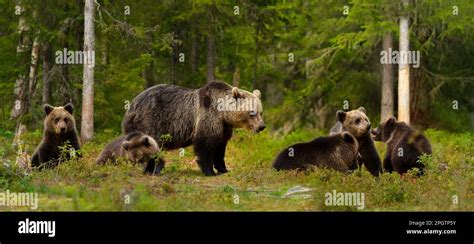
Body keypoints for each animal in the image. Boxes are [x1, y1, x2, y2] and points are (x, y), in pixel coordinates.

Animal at [120, 81, 264, 176]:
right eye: (252, 112)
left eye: (261, 112)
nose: (262, 126)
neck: (223, 114)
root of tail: (131, 107)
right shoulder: (208, 116)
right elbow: (205, 145)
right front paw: (209, 171)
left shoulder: (223, 127)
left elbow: (220, 148)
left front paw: (224, 169)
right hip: (149, 122)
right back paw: (155, 169)